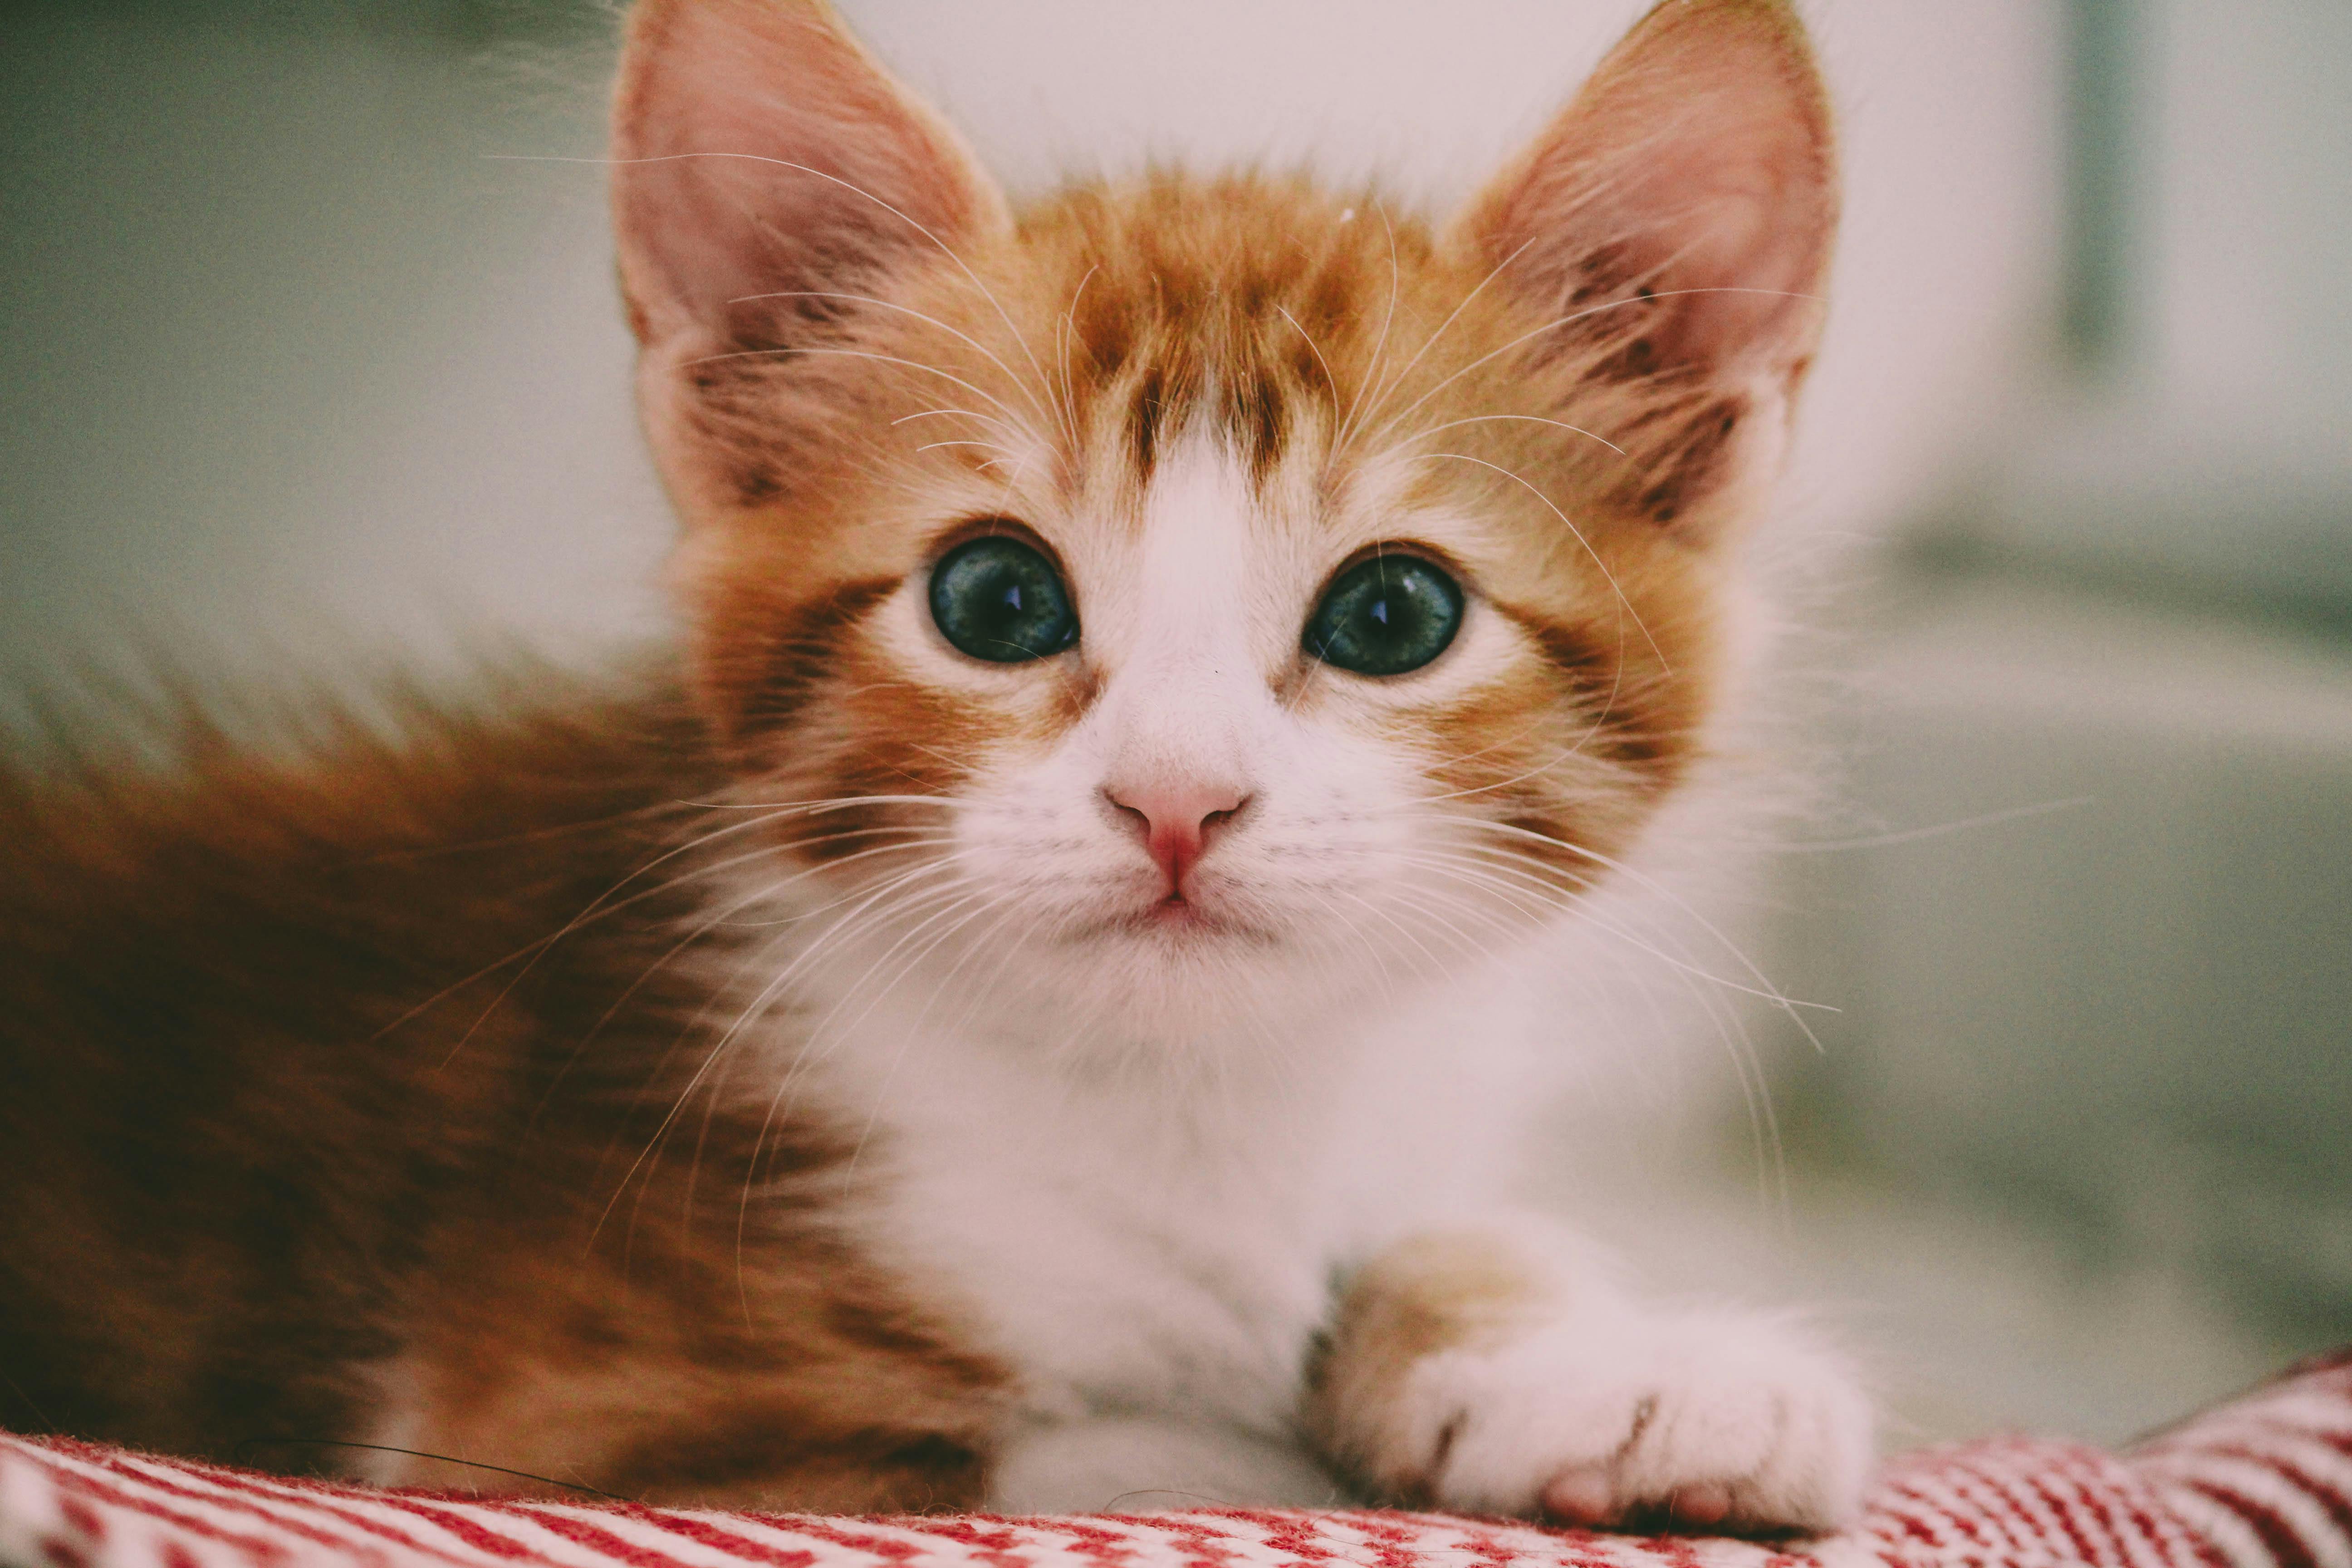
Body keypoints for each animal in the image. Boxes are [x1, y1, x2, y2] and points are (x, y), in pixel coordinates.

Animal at [0, 0, 1872, 1542]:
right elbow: (1145, 1448)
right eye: (995, 600)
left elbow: (1440, 1231)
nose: (1176, 799)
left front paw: (1597, 1360)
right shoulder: (573, 1416)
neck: (1184, 1107)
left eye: (1394, 613)